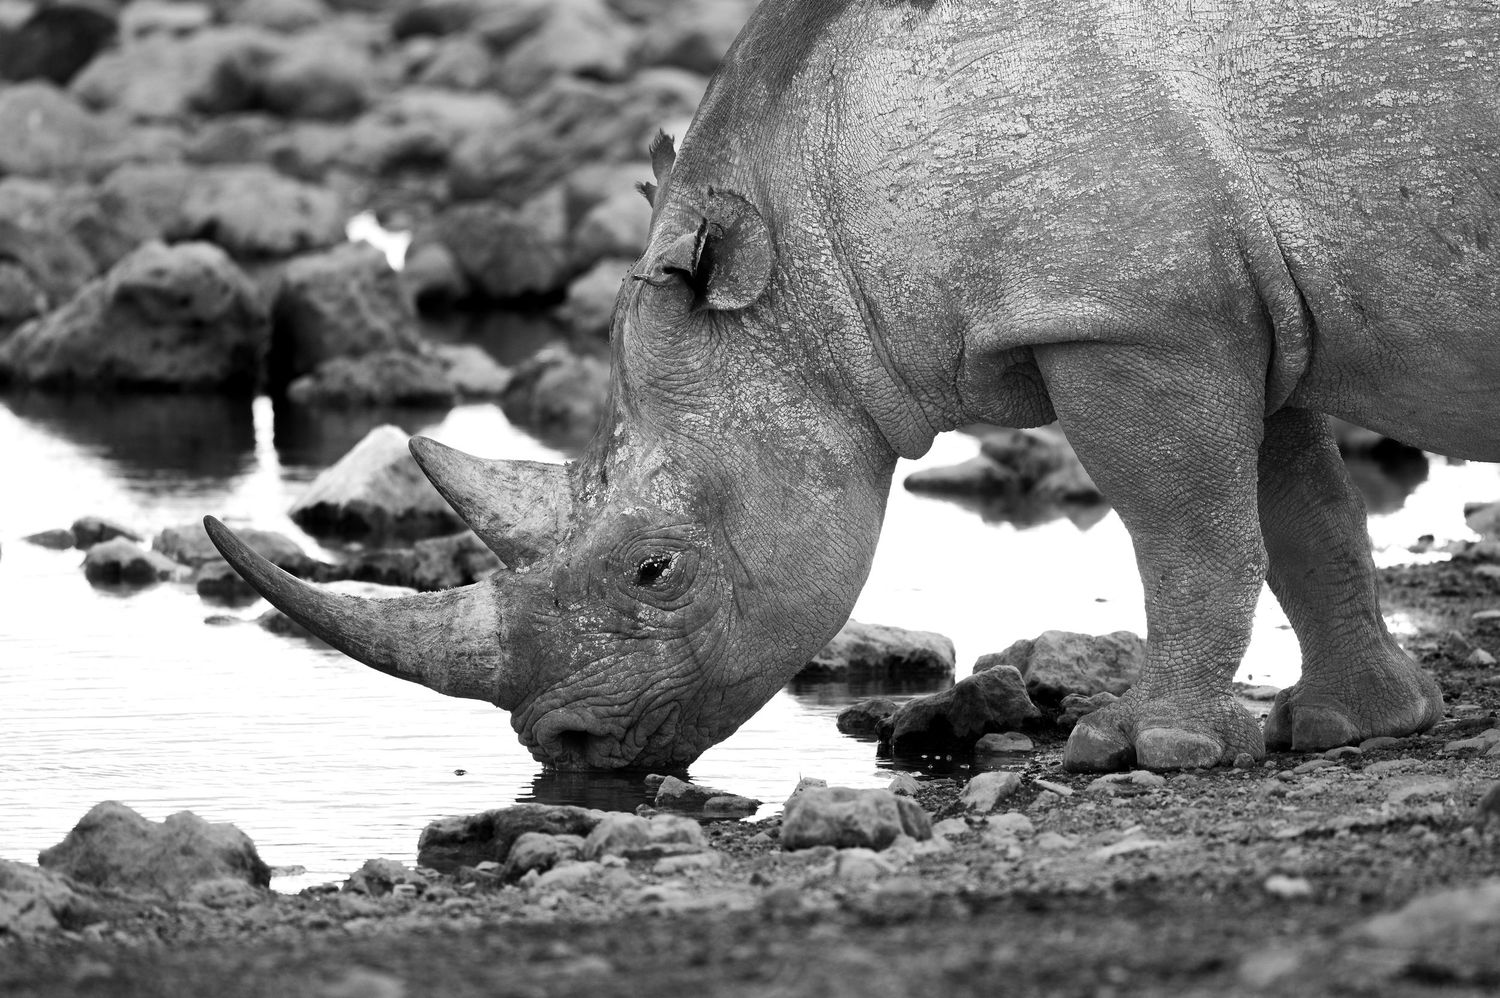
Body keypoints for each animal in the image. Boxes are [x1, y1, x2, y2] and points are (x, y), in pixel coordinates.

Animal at [207, 0, 1495, 772]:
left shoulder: (1126, 317)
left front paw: (1136, 749)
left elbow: (1190, 529)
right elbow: (1300, 512)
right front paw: (1351, 726)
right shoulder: (1218, 307)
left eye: (655, 570)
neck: (815, 242)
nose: (563, 748)